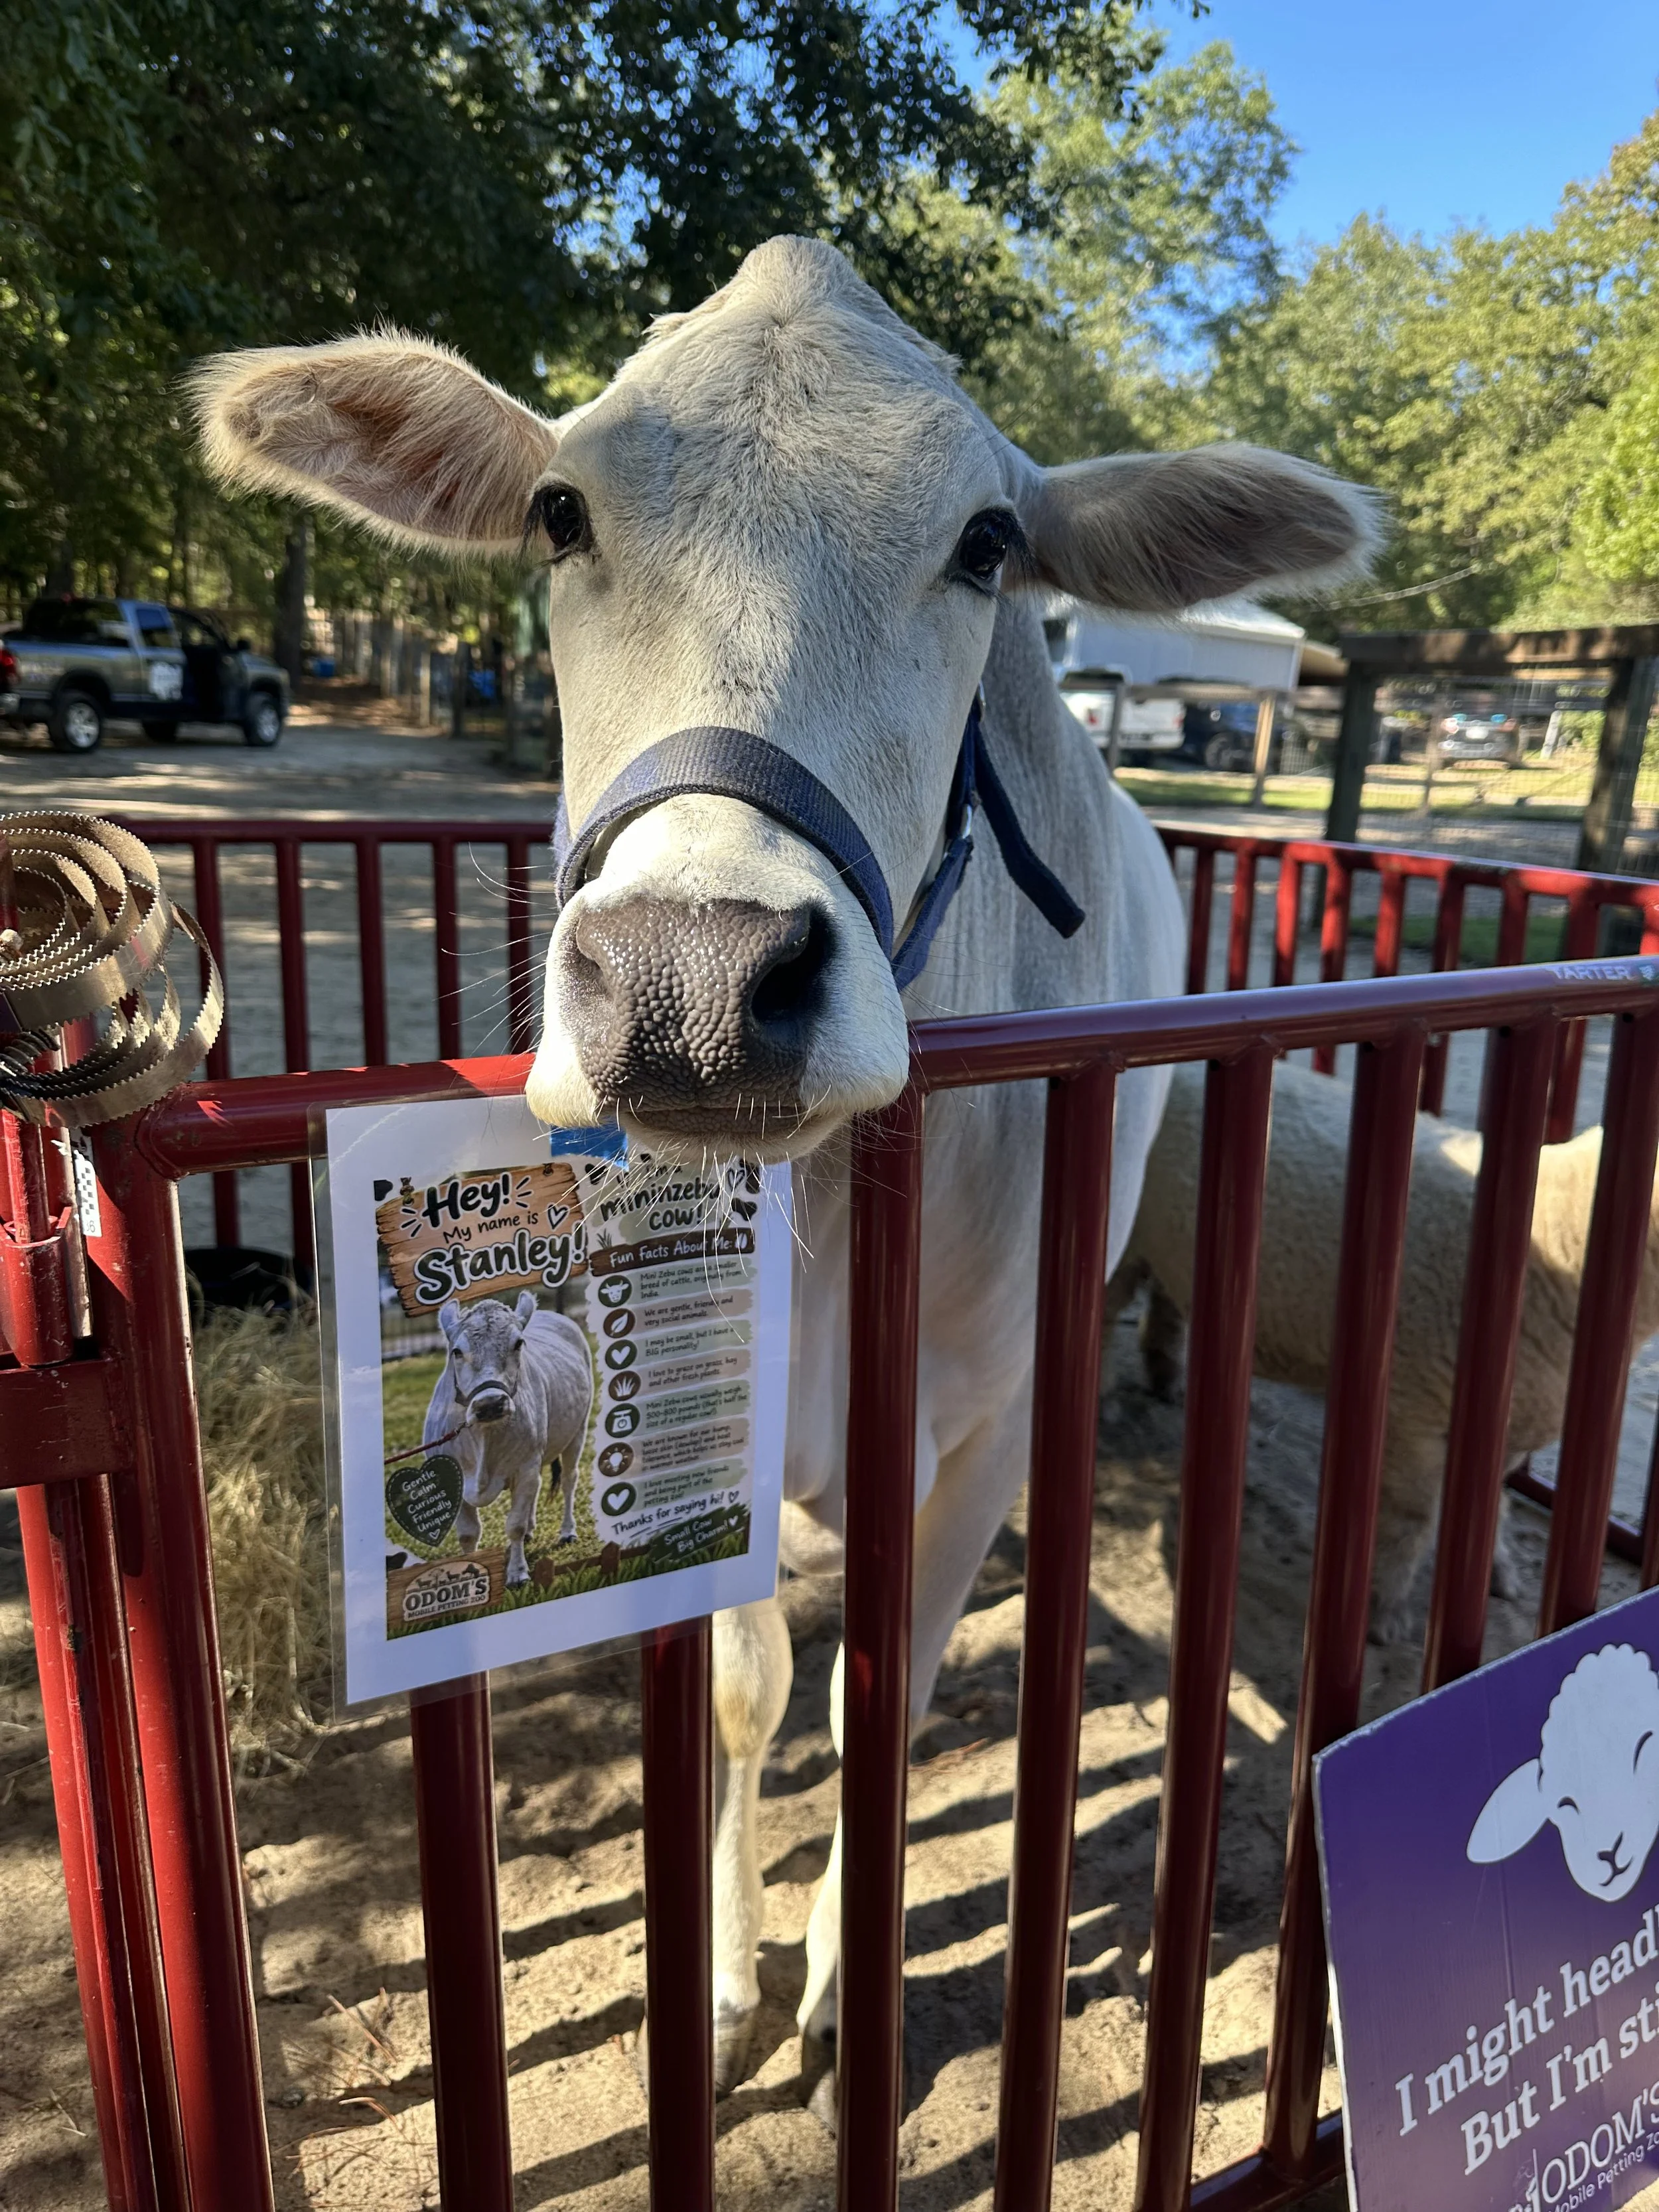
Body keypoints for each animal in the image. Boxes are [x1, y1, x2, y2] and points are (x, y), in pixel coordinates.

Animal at [427, 1292, 594, 1586]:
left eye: (518, 1344)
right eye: (457, 1351)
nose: (491, 1403)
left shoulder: (526, 1468)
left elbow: (514, 1525)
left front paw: (517, 1573)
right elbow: (468, 1534)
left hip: (578, 1431)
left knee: (569, 1480)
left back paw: (567, 1531)